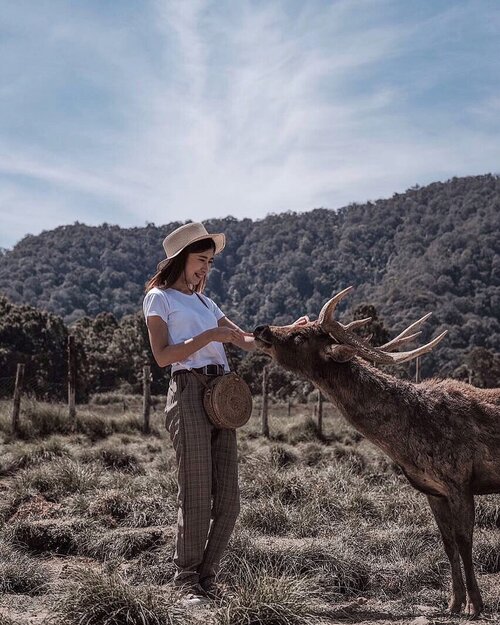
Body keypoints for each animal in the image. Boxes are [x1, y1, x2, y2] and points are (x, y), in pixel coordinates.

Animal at [254, 288, 500, 620]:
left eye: (300, 336)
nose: (261, 329)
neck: (407, 442)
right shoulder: (433, 490)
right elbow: (447, 543)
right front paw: (453, 603)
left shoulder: (460, 480)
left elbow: (464, 541)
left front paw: (475, 606)